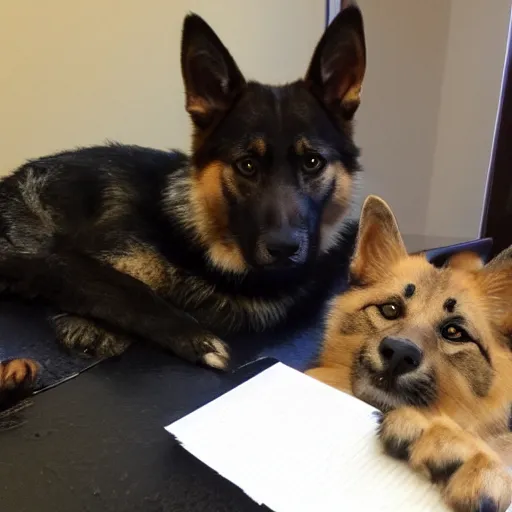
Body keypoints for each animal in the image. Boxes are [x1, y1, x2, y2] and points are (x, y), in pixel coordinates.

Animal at [1, 4, 368, 394]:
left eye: (312, 162)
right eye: (247, 165)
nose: (284, 249)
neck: (204, 241)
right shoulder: (61, 258)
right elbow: (125, 288)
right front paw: (196, 340)